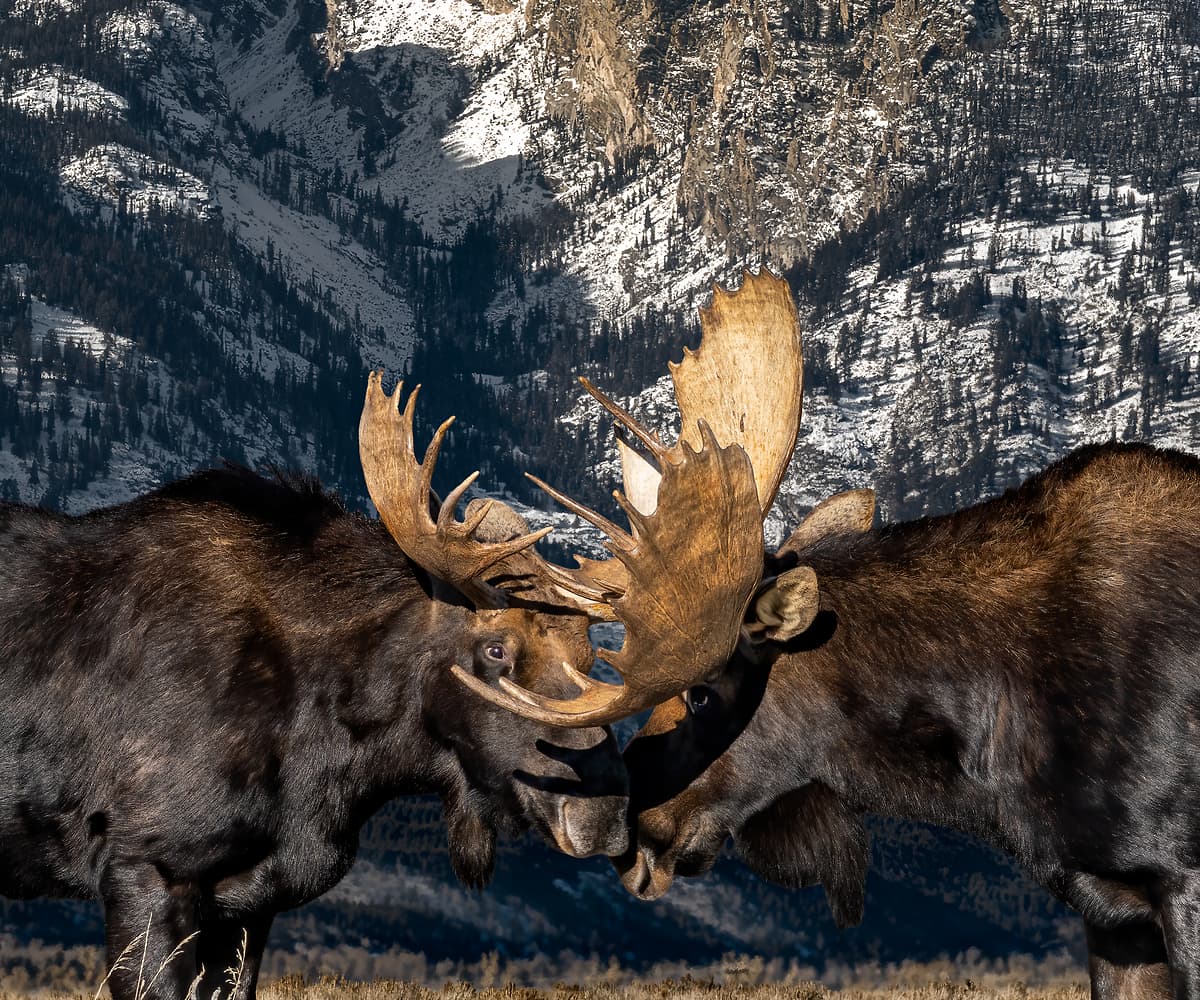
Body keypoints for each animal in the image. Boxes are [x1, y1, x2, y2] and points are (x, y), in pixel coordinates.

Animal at [0, 372, 761, 1000]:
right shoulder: (145, 867)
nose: (605, 818)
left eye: (591, 654)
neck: (326, 764)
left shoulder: (250, 902)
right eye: (494, 649)